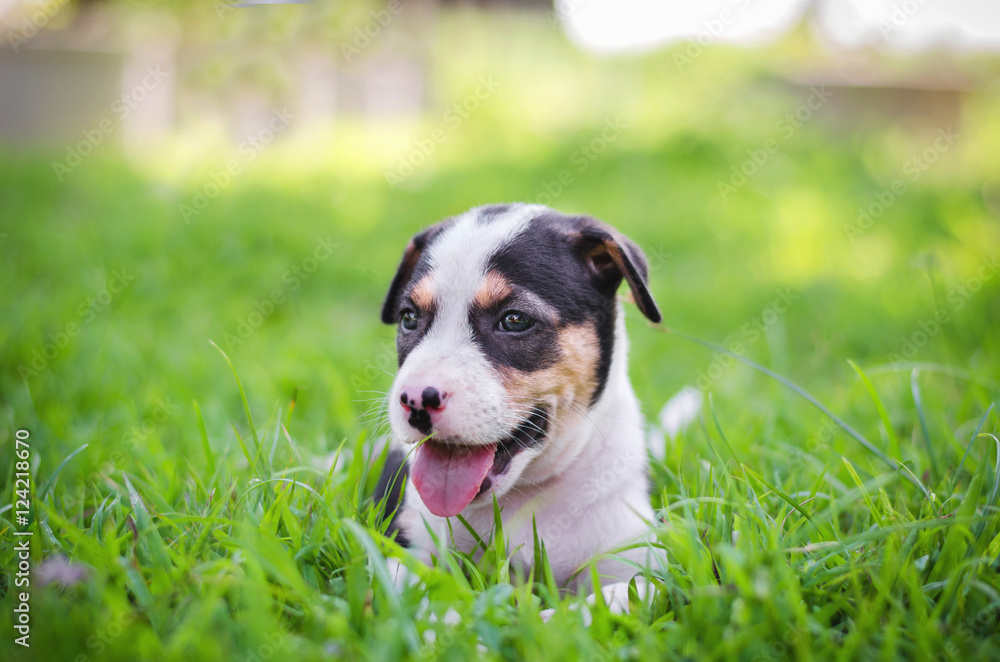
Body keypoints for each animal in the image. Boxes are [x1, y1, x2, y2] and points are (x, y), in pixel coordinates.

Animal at [376, 204, 664, 608]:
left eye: (514, 320)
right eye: (409, 318)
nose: (415, 399)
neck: (524, 495)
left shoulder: (641, 564)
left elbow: (617, 597)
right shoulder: (406, 549)